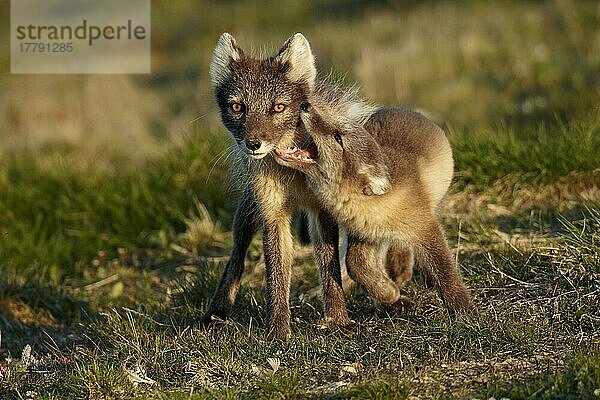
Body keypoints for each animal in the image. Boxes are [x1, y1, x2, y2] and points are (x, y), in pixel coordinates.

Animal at [202, 32, 382, 340]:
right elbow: (276, 274)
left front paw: (339, 321)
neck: (293, 172)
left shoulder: (322, 210)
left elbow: (330, 268)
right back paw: (217, 311)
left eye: (278, 107)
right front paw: (277, 331)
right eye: (237, 107)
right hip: (248, 212)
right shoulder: (272, 213)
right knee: (236, 257)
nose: (253, 144)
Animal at [274, 105, 472, 312]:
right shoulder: (364, 233)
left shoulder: (425, 228)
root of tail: (403, 108)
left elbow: (446, 273)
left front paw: (464, 310)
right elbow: (355, 265)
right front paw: (389, 293)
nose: (306, 106)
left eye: (338, 137)